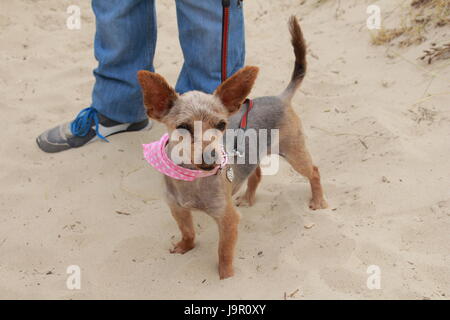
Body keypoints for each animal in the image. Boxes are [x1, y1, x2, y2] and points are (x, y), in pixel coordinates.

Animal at [137, 16, 326, 278]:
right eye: (183, 127)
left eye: (221, 125)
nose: (212, 156)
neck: (191, 179)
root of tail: (281, 97)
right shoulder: (177, 209)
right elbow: (188, 231)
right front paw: (185, 246)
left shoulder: (227, 219)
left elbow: (224, 252)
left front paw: (225, 277)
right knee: (256, 174)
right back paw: (248, 198)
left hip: (295, 153)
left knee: (314, 171)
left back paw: (318, 201)